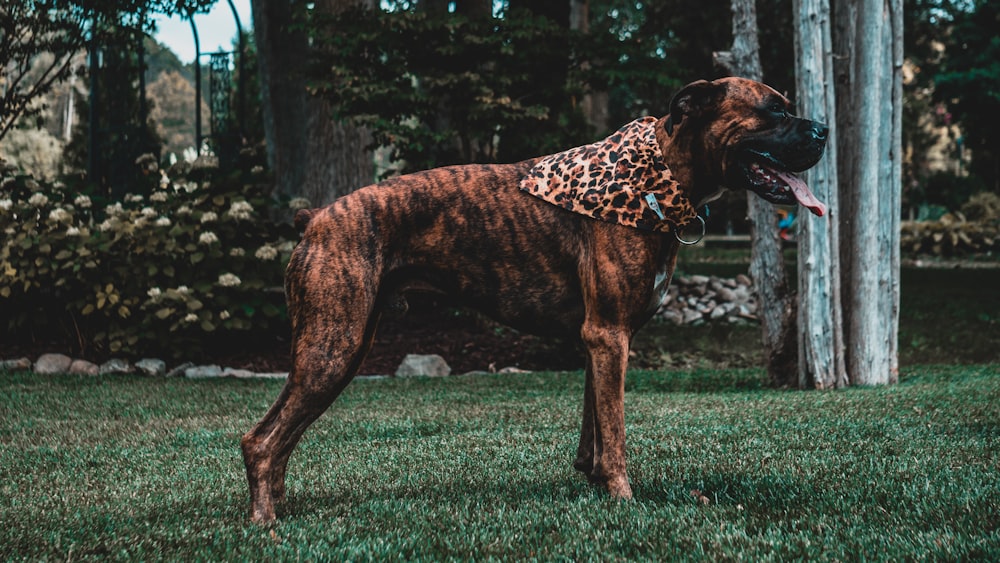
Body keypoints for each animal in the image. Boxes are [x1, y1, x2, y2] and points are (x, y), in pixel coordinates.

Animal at [240, 76, 828, 524]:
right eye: (774, 110)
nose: (822, 129)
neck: (659, 178)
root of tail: (315, 218)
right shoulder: (609, 336)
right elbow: (615, 433)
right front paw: (625, 501)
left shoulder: (601, 343)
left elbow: (595, 430)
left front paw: (597, 486)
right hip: (331, 348)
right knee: (262, 439)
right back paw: (265, 523)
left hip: (343, 349)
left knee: (283, 437)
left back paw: (278, 507)